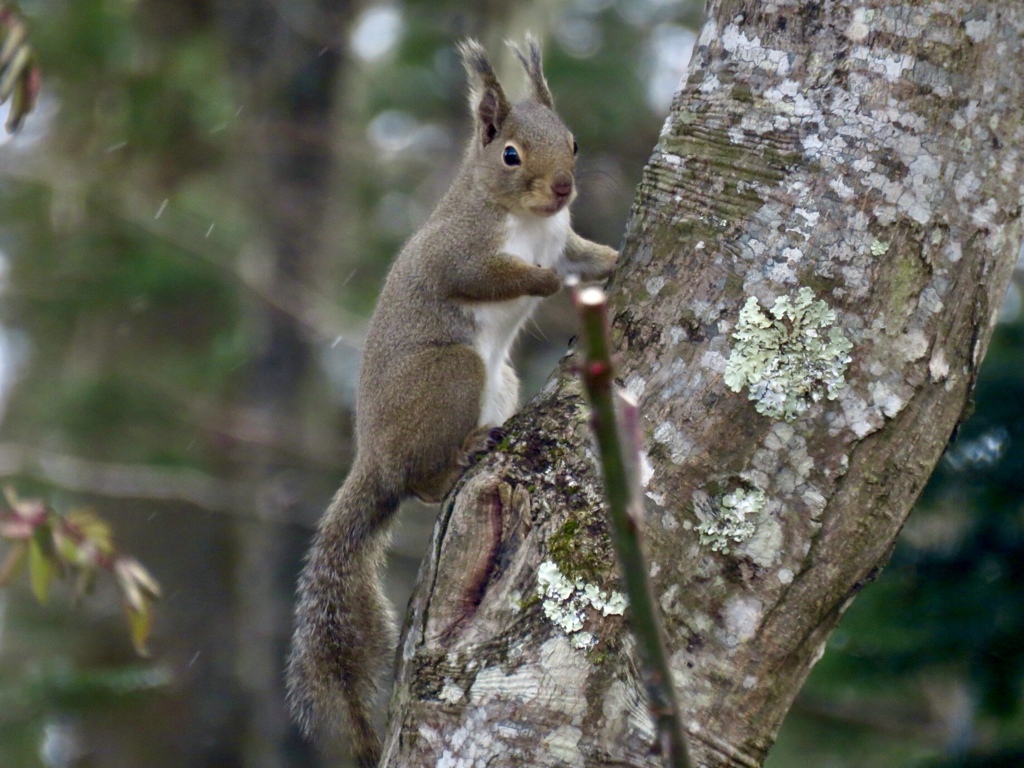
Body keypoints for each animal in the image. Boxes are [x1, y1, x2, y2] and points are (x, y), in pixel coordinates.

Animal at [284, 36, 614, 768]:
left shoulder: (563, 235)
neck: (528, 221)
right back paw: (462, 453)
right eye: (510, 154)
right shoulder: (459, 252)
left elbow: (584, 252)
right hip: (452, 376)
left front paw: (609, 259)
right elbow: (487, 276)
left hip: (500, 383)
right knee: (422, 482)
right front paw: (545, 282)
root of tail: (373, 458)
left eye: (575, 142)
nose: (563, 188)